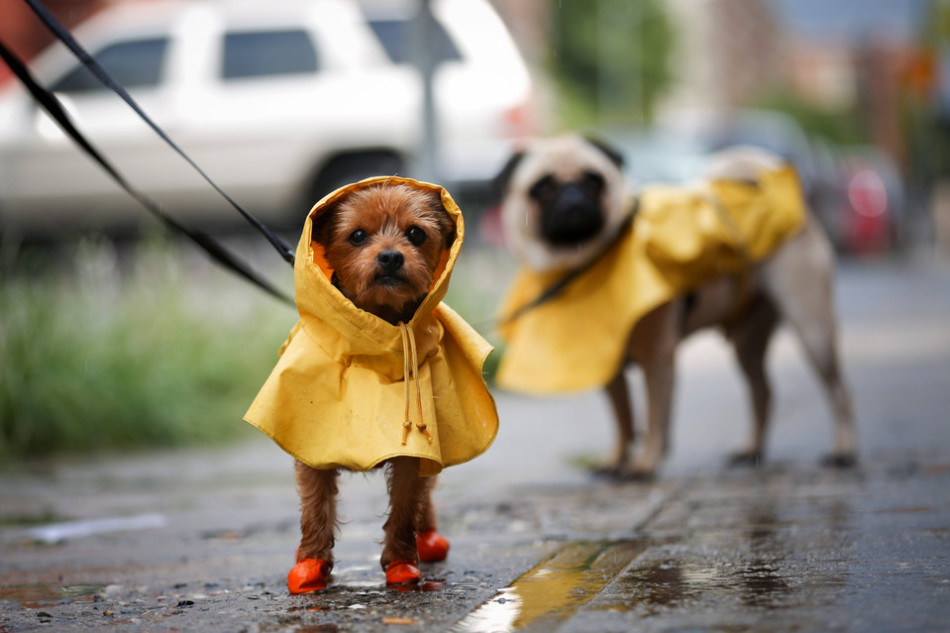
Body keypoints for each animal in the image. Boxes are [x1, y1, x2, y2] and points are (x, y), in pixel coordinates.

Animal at [296, 183, 460, 588]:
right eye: (357, 235)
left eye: (416, 233)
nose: (389, 256)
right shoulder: (312, 445)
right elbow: (315, 507)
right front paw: (311, 562)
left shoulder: (413, 454)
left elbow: (404, 508)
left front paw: (401, 562)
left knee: (425, 499)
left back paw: (428, 539)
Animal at [494, 136, 860, 476]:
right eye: (541, 187)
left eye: (594, 180)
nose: (572, 198)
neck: (585, 265)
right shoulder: (609, 368)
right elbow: (623, 418)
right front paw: (616, 459)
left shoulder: (658, 356)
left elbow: (655, 413)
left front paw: (643, 465)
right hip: (748, 342)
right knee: (763, 391)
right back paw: (751, 449)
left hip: (812, 327)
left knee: (839, 391)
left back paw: (843, 451)